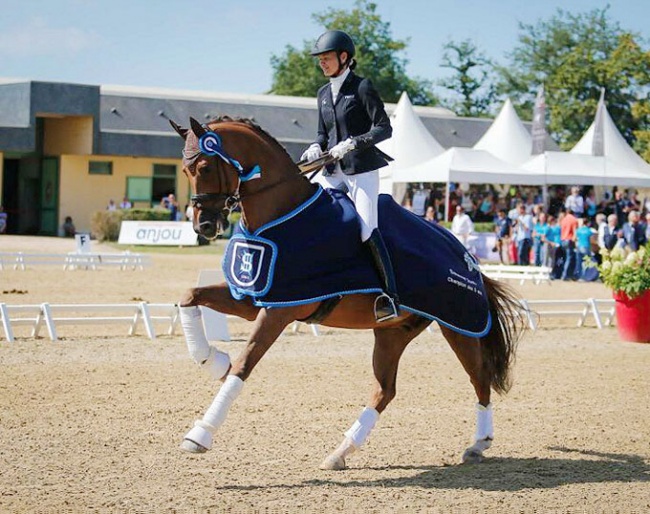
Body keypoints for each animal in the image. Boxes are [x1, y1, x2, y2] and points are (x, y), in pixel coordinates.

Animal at [168, 115, 528, 468]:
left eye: (204, 168)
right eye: (184, 171)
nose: (203, 226)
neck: (281, 213)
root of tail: (465, 255)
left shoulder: (280, 309)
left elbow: (244, 364)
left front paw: (201, 433)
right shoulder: (255, 298)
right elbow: (189, 296)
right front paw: (212, 360)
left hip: (459, 325)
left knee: (479, 377)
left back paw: (479, 443)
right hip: (393, 332)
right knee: (385, 390)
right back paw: (341, 451)